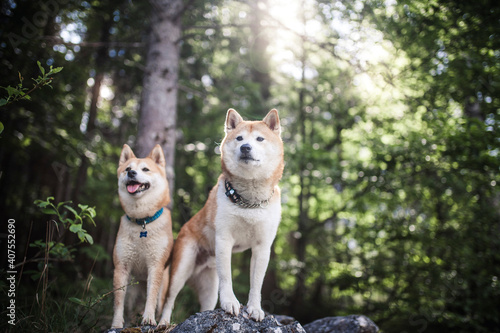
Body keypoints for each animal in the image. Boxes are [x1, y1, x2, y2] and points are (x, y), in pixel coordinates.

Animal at [112, 145, 175, 326]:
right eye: (127, 169)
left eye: (145, 169)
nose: (131, 173)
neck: (142, 221)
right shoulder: (121, 267)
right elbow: (118, 302)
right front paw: (116, 324)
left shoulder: (155, 265)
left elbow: (151, 297)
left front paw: (148, 318)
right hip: (131, 292)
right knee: (129, 308)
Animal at [160, 109, 286, 324]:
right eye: (239, 138)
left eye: (260, 139)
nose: (245, 147)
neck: (249, 202)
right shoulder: (224, 239)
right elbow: (227, 278)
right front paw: (230, 303)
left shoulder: (262, 247)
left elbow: (256, 283)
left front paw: (255, 308)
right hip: (181, 268)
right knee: (169, 301)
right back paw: (162, 324)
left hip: (209, 287)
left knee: (206, 306)